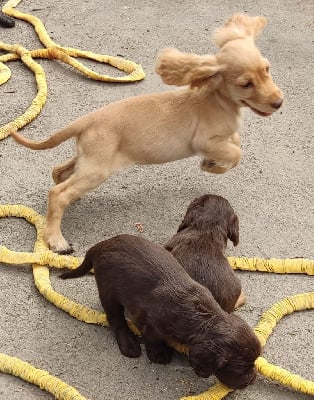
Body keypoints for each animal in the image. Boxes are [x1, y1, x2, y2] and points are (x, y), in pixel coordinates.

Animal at [11, 15, 282, 255]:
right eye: (246, 84)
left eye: (267, 69)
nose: (278, 102)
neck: (217, 98)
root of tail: (86, 120)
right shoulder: (204, 140)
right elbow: (236, 154)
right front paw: (211, 166)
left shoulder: (224, 137)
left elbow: (235, 144)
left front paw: (214, 163)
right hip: (96, 170)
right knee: (57, 194)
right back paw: (57, 240)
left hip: (88, 160)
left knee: (59, 173)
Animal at [60, 233, 262, 390]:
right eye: (240, 369)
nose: (252, 380)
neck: (204, 317)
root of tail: (103, 244)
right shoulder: (151, 324)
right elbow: (153, 339)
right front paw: (159, 354)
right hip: (108, 288)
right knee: (115, 319)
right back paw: (129, 345)